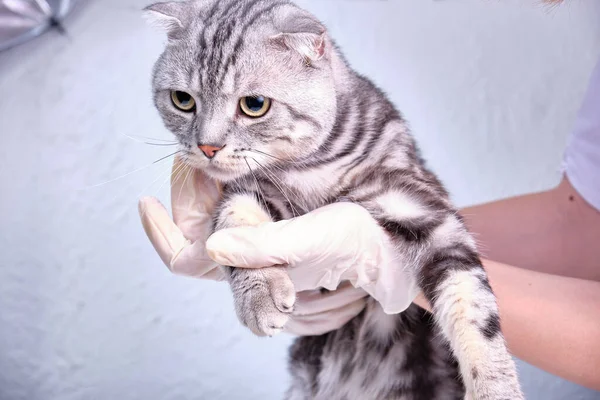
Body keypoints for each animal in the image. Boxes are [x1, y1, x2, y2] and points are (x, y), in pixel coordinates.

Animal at [145, 1, 524, 398]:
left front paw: (496, 386)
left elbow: (473, 305)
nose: (207, 147)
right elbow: (235, 228)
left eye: (254, 105)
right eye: (182, 100)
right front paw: (258, 294)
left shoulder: (424, 208)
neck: (313, 167)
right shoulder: (260, 192)